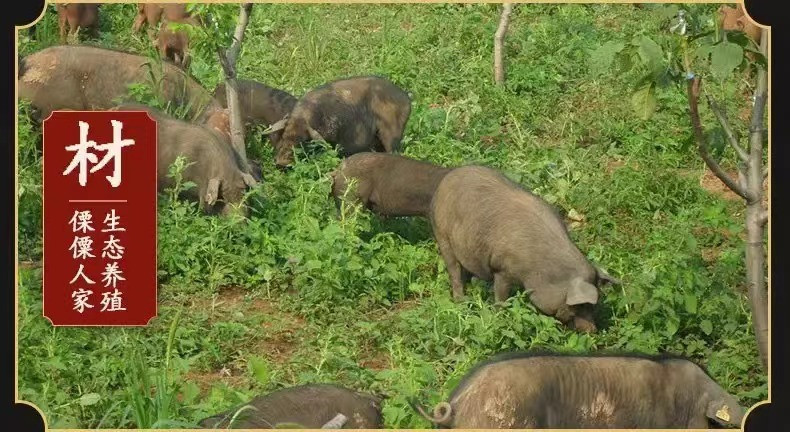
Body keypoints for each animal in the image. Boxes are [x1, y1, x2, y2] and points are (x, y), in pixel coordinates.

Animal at [426, 165, 620, 330]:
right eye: (579, 306)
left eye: (593, 307)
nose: (592, 331)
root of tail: (446, 179)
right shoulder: (502, 269)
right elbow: (501, 296)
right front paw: (499, 318)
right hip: (441, 234)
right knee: (454, 270)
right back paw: (461, 303)